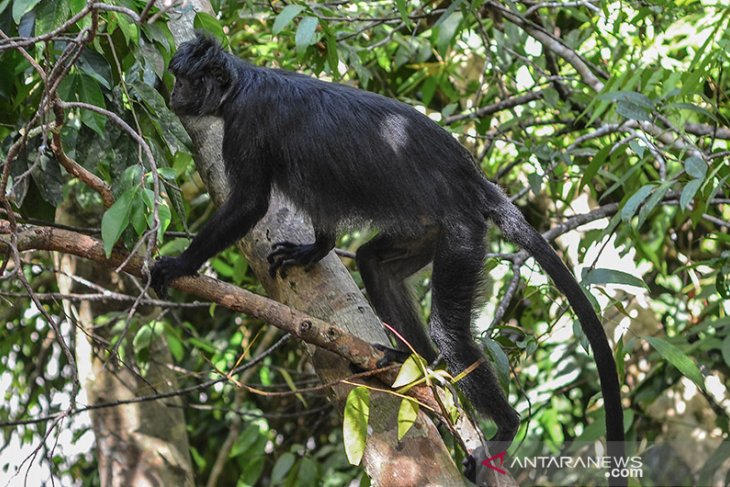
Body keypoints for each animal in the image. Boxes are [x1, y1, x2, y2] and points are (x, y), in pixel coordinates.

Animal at [151, 35, 624, 484]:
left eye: (185, 80)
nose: (171, 95)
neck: (241, 83)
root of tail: (473, 181)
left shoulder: (246, 124)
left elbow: (249, 204)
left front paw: (179, 266)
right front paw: (315, 248)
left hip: (462, 233)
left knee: (450, 336)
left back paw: (504, 423)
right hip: (427, 231)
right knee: (373, 263)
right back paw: (416, 361)